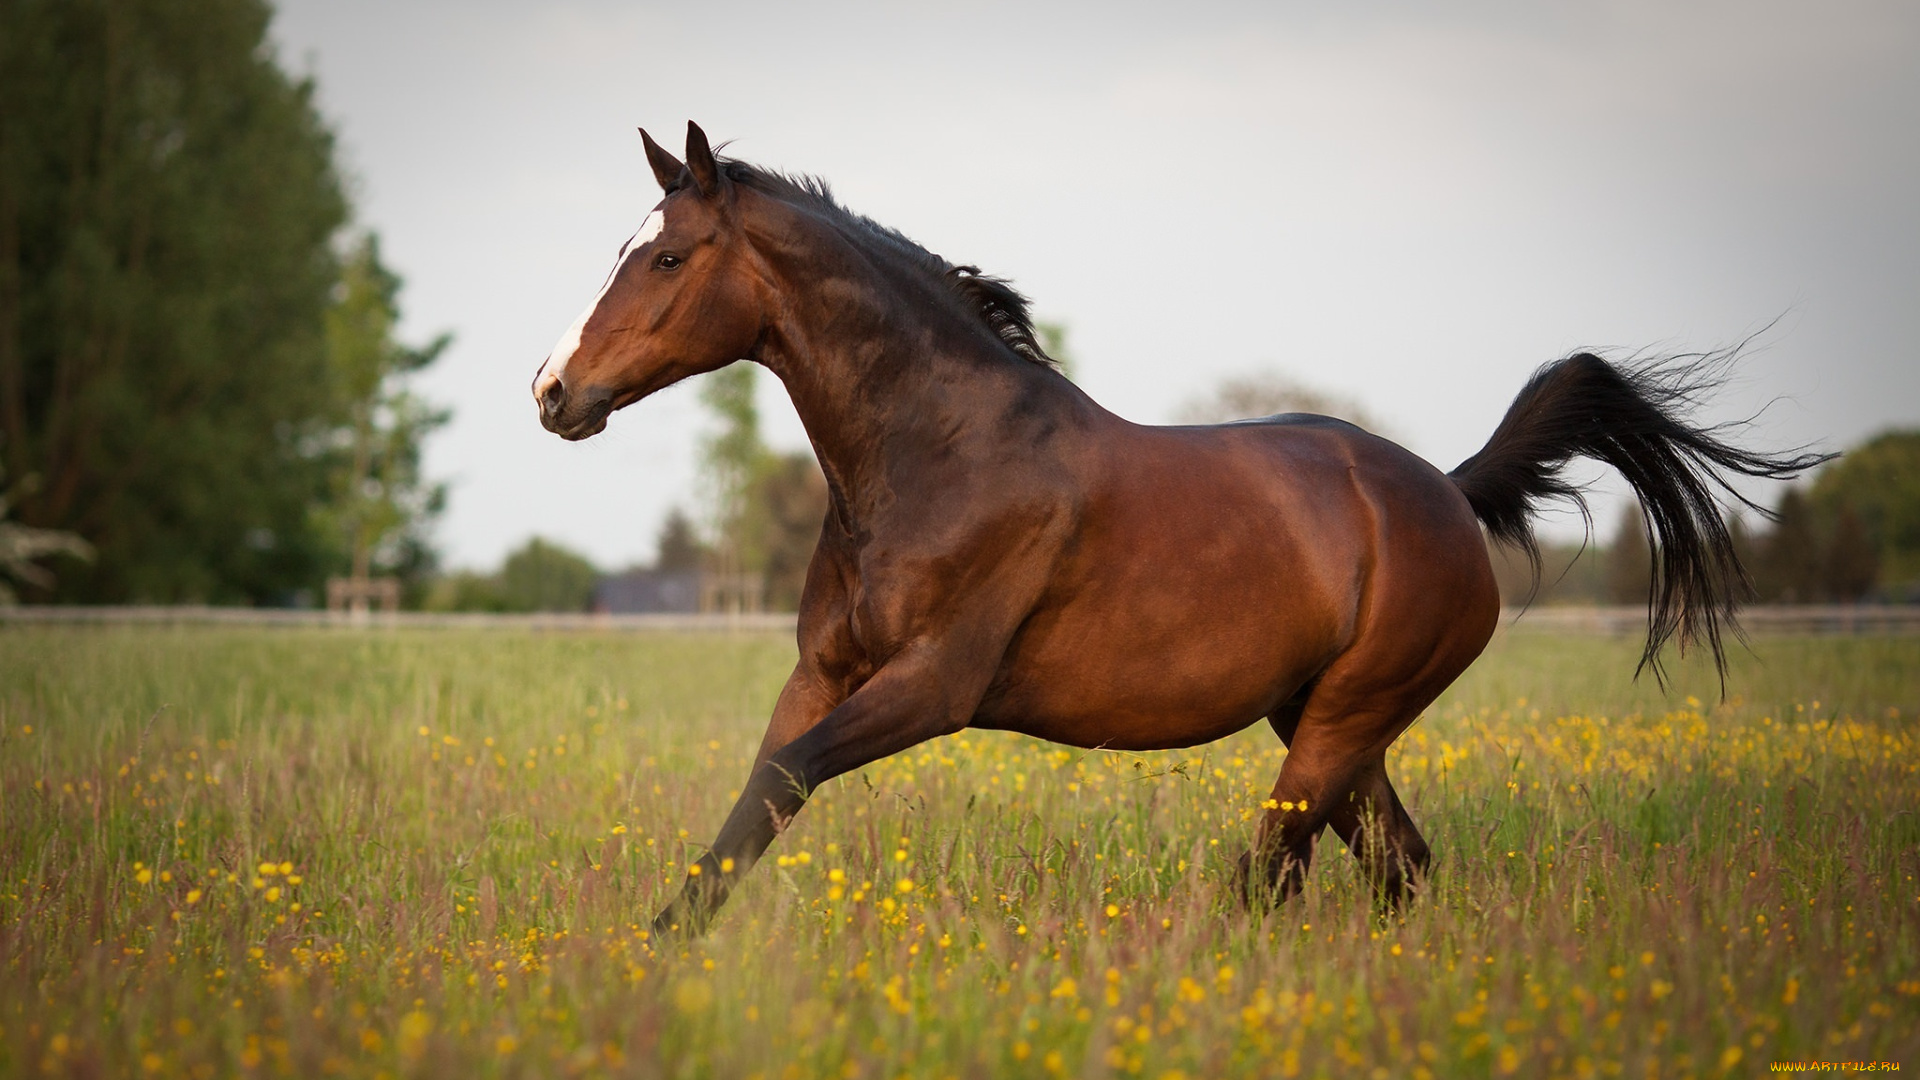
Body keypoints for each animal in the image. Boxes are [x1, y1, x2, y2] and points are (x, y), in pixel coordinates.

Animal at [533, 119, 1820, 933]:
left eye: (666, 256)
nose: (551, 392)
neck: (940, 456)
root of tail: (1448, 495)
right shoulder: (825, 672)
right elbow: (756, 800)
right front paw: (657, 949)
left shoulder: (935, 685)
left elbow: (789, 778)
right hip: (1331, 723)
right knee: (1395, 868)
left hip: (1338, 725)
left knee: (1277, 878)